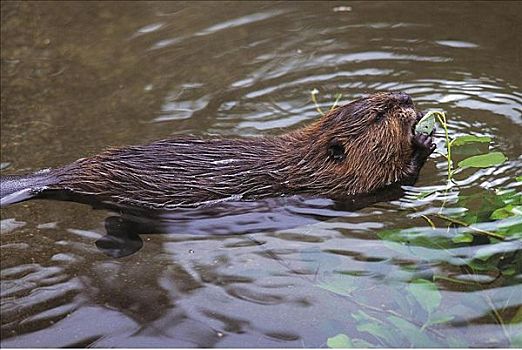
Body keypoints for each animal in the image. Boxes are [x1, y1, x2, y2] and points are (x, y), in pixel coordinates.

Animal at [1, 91, 434, 209]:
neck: (305, 158)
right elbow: (389, 183)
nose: (407, 97)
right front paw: (424, 141)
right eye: (379, 113)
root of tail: (58, 173)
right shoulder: (339, 187)